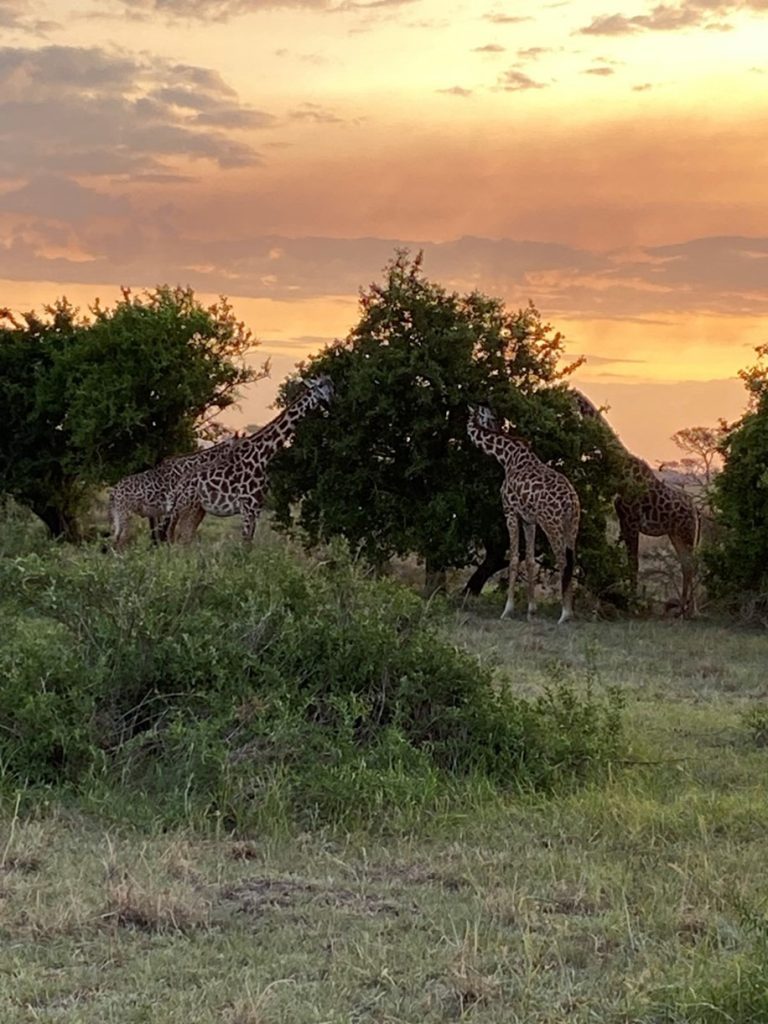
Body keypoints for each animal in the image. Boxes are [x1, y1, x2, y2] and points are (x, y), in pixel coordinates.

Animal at [166, 372, 335, 540]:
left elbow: (249, 541)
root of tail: (179, 485)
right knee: (180, 535)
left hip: (197, 508)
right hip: (188, 506)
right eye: (319, 386)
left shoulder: (257, 508)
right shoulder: (248, 506)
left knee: (183, 535)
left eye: (332, 387)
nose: (330, 404)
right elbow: (246, 541)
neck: (263, 454)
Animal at [466, 405, 581, 622]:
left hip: (552, 523)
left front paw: (507, 610)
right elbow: (528, 560)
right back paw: (567, 610)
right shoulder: (529, 520)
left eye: (487, 416)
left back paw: (565, 614)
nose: (496, 423)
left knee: (562, 560)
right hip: (573, 524)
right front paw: (531, 610)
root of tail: (570, 501)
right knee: (572, 560)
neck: (506, 457)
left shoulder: (510, 512)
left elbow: (512, 559)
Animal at [573, 389, 704, 614]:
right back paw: (683, 608)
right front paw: (630, 600)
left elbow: (633, 563)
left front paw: (633, 604)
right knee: (686, 565)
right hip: (675, 533)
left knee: (691, 565)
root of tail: (695, 509)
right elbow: (630, 562)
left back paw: (692, 610)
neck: (620, 465)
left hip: (687, 532)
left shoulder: (632, 520)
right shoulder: (624, 521)